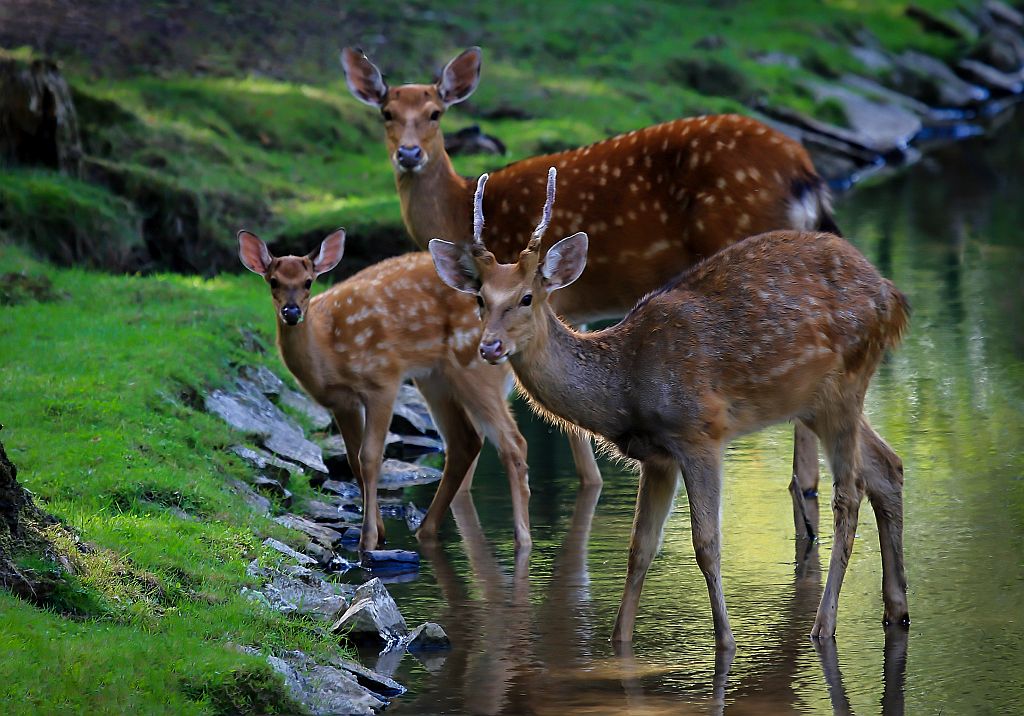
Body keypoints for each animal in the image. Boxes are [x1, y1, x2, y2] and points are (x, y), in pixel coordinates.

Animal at [235, 229, 585, 553]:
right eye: (273, 281)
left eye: (308, 282)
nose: (292, 312)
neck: (328, 351)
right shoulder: (342, 402)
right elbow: (352, 460)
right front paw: (379, 530)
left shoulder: (382, 378)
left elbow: (370, 456)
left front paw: (368, 540)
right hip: (434, 377)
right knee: (465, 441)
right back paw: (426, 530)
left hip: (474, 368)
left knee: (512, 443)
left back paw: (522, 541)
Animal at [428, 169, 909, 651]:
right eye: (480, 299)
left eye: (527, 297)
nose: (490, 347)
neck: (625, 388)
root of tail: (892, 296)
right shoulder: (656, 457)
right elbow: (640, 548)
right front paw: (619, 642)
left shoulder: (699, 432)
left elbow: (706, 543)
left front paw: (726, 643)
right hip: (814, 402)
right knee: (888, 467)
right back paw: (897, 610)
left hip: (846, 381)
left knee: (849, 494)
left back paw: (824, 626)